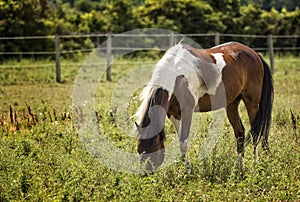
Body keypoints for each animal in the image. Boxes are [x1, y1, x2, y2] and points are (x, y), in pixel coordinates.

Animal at [135, 41, 274, 171]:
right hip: (232, 105)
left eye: (153, 150)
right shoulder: (173, 114)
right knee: (240, 133)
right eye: (140, 151)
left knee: (256, 133)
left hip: (252, 103)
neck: (177, 74)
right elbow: (180, 141)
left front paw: (186, 172)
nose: (147, 173)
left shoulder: (187, 111)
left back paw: (255, 165)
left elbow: (184, 142)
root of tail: (255, 55)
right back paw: (240, 167)